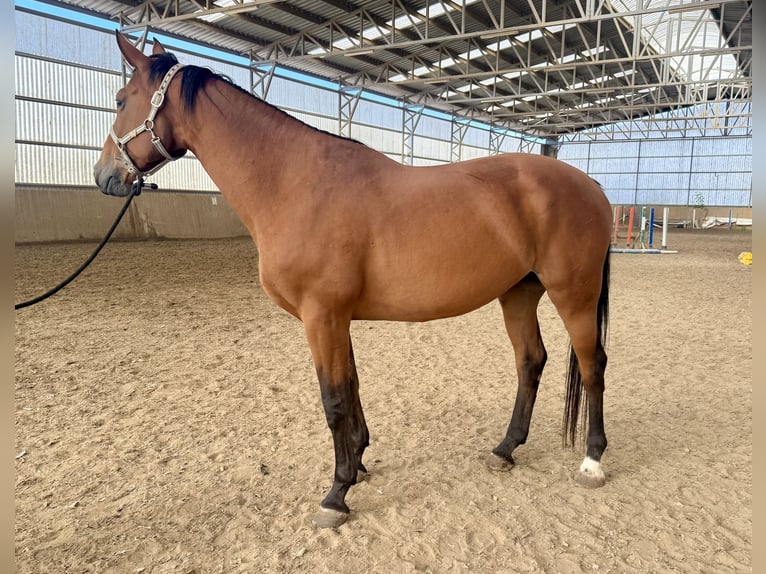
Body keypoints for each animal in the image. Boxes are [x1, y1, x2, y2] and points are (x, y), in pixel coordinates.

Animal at [94, 33, 613, 529]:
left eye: (120, 100)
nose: (104, 177)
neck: (294, 182)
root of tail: (590, 184)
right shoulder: (337, 318)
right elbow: (354, 389)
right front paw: (359, 462)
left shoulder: (321, 316)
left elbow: (334, 401)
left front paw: (336, 494)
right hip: (519, 293)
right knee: (531, 361)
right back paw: (505, 449)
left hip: (574, 295)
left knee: (593, 366)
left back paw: (591, 461)